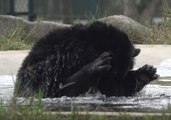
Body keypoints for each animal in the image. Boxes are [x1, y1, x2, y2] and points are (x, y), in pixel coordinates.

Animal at [14, 21, 158, 97]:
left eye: (122, 76)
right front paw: (96, 66)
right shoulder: (49, 68)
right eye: (113, 75)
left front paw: (145, 73)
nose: (116, 93)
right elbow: (54, 90)